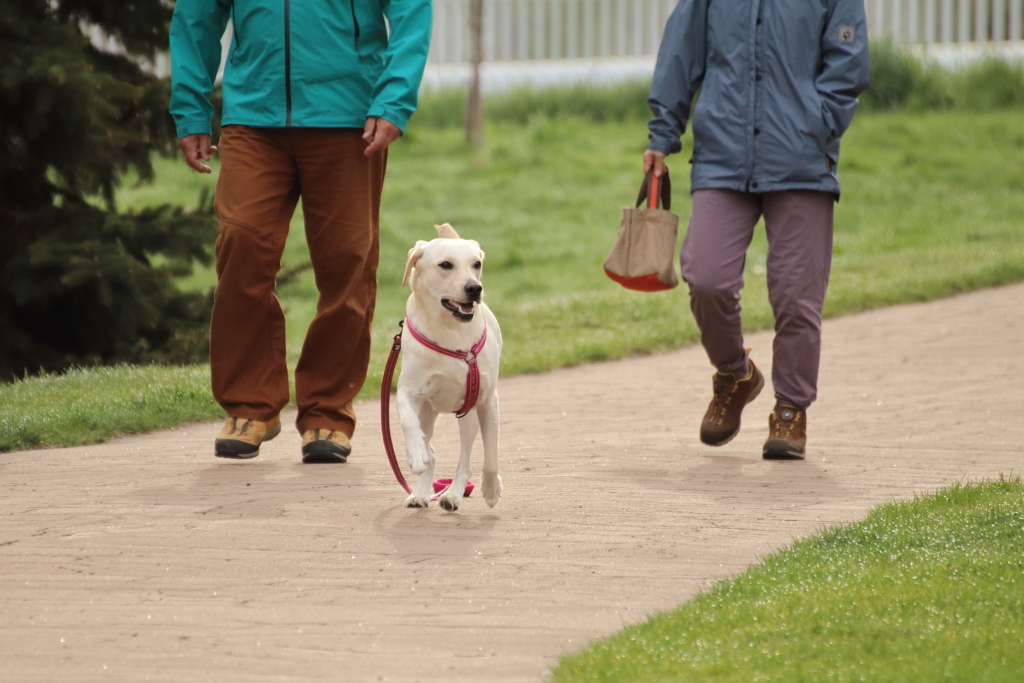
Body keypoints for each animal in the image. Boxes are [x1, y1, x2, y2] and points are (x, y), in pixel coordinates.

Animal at [397, 225, 501, 511]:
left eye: (477, 264)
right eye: (445, 265)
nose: (474, 288)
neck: (450, 331)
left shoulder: (487, 400)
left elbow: (491, 454)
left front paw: (491, 489)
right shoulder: (407, 389)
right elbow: (408, 419)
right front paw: (416, 454)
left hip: (468, 416)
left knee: (465, 460)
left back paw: (453, 495)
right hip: (428, 412)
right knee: (431, 450)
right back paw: (420, 491)